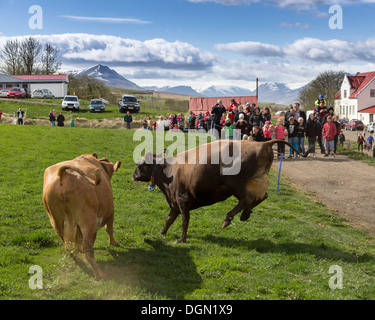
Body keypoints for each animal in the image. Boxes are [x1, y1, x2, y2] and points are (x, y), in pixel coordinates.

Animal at [132, 139, 308, 242]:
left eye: (140, 164)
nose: (133, 175)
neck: (169, 170)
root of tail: (262, 143)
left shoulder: (182, 200)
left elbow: (184, 220)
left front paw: (182, 239)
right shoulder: (174, 204)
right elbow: (169, 219)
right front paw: (162, 233)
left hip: (235, 183)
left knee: (246, 199)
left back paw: (228, 218)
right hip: (255, 181)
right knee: (261, 196)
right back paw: (244, 214)